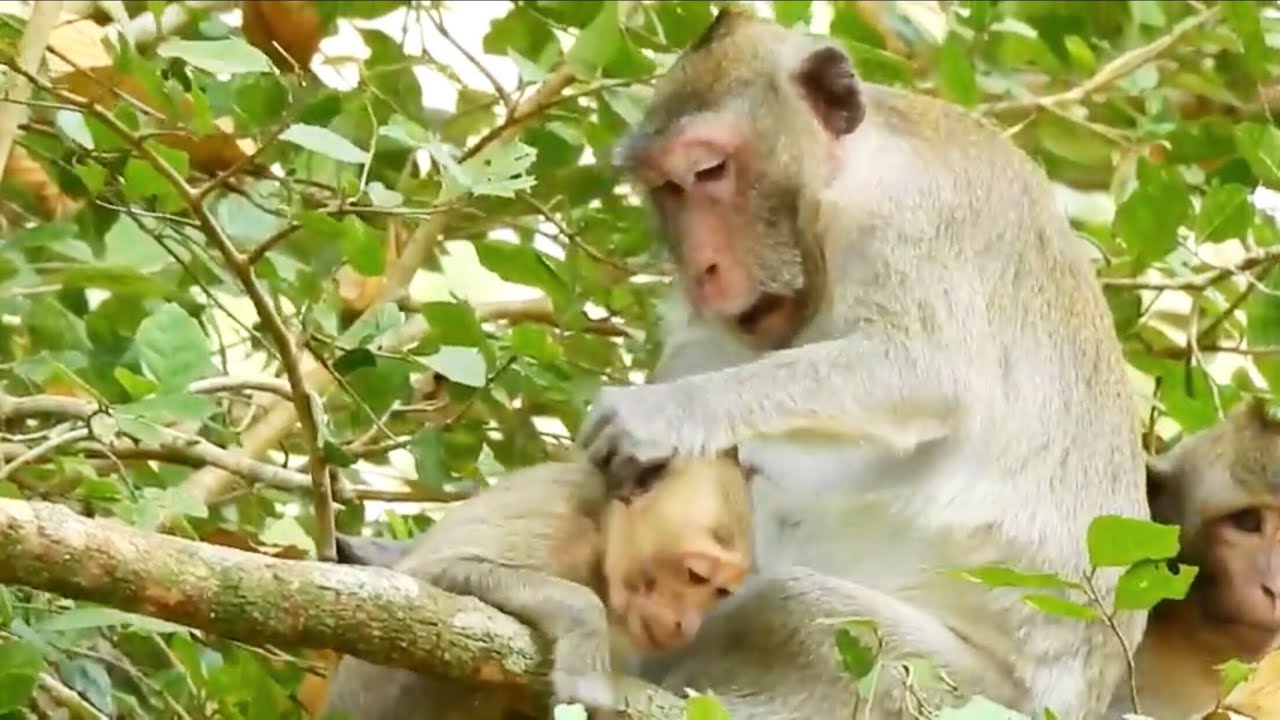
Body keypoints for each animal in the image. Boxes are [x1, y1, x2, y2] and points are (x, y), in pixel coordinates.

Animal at [576, 5, 1148, 718]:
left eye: (709, 170)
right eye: (666, 189)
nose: (702, 267)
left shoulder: (908, 211)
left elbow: (922, 368)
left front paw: (663, 414)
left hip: (941, 688)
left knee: (787, 610)